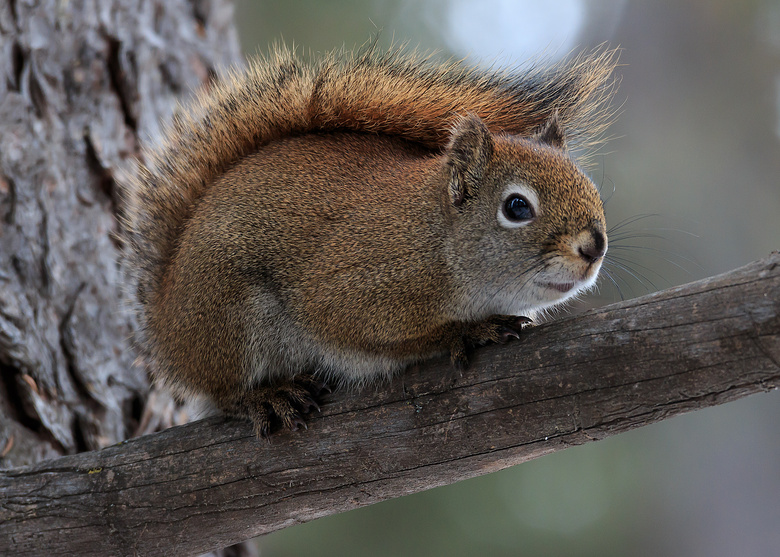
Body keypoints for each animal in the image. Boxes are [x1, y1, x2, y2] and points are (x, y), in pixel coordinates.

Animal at [125, 43, 620, 436]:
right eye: (517, 207)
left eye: (591, 188)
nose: (594, 247)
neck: (436, 241)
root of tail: (165, 327)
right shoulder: (354, 285)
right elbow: (379, 332)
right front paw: (468, 330)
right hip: (231, 319)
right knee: (223, 392)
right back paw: (265, 396)